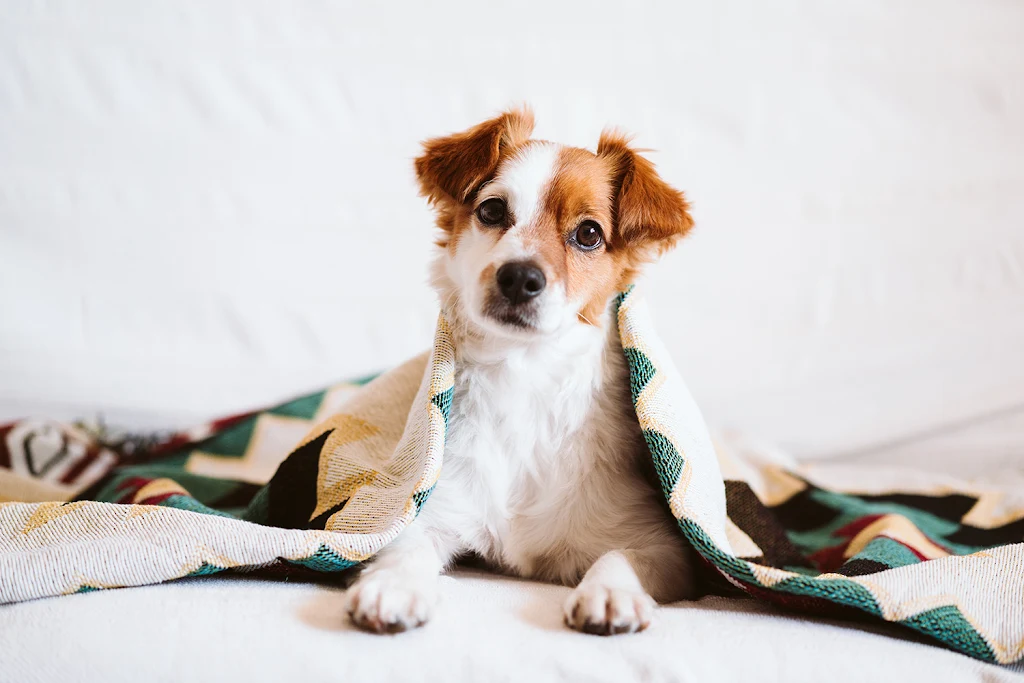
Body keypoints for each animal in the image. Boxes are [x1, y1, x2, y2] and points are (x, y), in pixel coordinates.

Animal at [344, 107, 696, 634]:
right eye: (492, 211)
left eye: (589, 233)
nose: (519, 277)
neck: (525, 375)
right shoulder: (431, 503)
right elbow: (404, 543)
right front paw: (393, 586)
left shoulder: (663, 544)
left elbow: (621, 555)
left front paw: (609, 592)